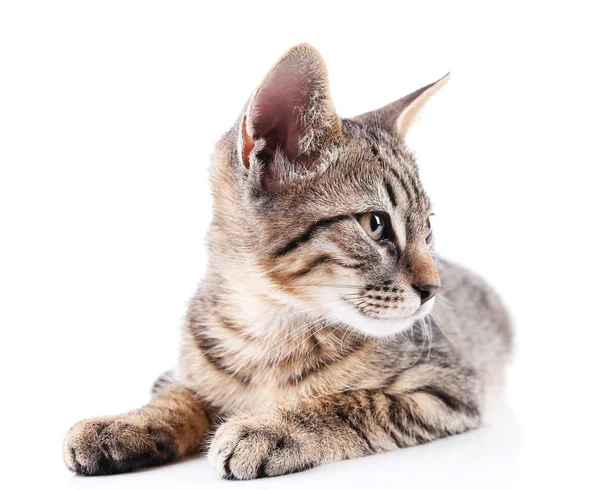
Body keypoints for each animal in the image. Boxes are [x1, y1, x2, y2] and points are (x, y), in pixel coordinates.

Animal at [63, 44, 512, 480]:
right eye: (375, 224)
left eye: (428, 228)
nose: (433, 289)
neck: (267, 325)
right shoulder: (183, 373)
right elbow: (181, 396)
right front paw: (124, 424)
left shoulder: (448, 387)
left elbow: (356, 401)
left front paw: (273, 428)